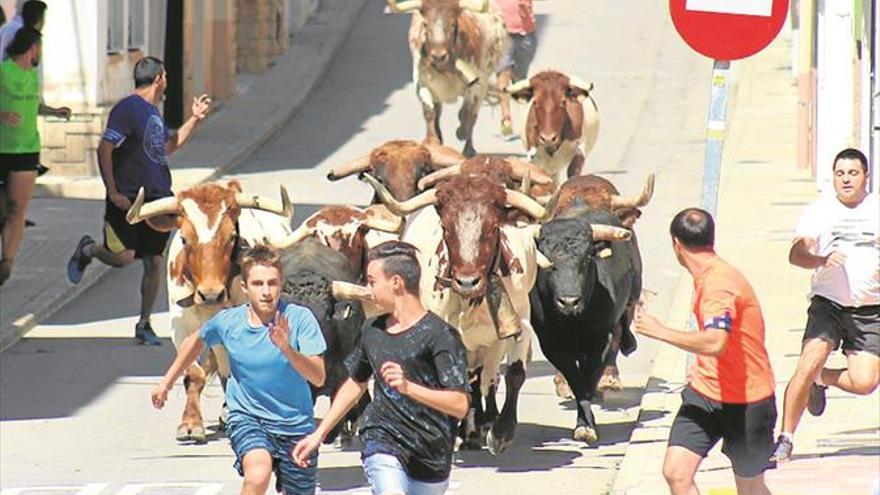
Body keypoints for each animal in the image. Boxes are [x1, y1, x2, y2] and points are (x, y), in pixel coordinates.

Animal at [352, 171, 552, 458]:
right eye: (446, 228)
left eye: (493, 228)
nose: (467, 282)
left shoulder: (520, 325)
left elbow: (514, 374)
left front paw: (501, 432)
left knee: (485, 378)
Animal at [386, 0, 506, 157]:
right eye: (425, 24)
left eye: (453, 24)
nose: (438, 56)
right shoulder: (422, 84)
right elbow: (430, 112)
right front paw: (431, 141)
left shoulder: (475, 85)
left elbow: (466, 113)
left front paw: (461, 133)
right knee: (439, 112)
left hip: (484, 82)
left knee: (473, 114)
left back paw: (468, 148)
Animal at [528, 175, 652, 446]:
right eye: (547, 263)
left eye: (586, 259)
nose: (569, 301)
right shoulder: (550, 342)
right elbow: (576, 379)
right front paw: (581, 416)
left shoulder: (601, 335)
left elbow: (591, 374)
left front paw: (603, 385)